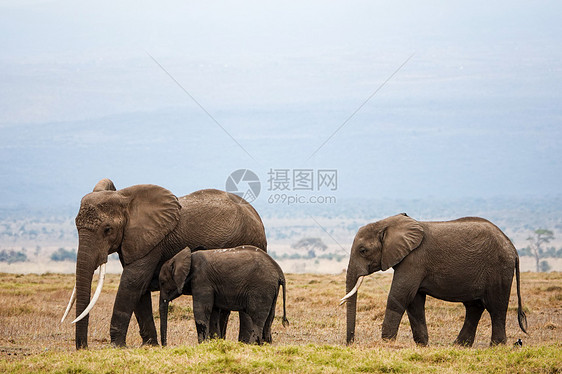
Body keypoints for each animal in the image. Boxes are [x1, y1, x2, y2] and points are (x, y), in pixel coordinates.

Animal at [60, 178, 266, 348]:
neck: (125, 199)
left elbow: (132, 282)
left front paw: (117, 346)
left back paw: (244, 343)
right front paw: (149, 345)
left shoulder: (153, 242)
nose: (83, 348)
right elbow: (139, 290)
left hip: (250, 241)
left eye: (107, 229)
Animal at [340, 215, 528, 346]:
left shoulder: (414, 259)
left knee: (496, 307)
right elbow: (414, 301)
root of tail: (512, 247)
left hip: (499, 269)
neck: (388, 223)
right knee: (474, 307)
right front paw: (422, 345)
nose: (351, 343)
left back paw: (496, 346)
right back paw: (459, 346)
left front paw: (386, 343)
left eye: (363, 250)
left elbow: (400, 296)